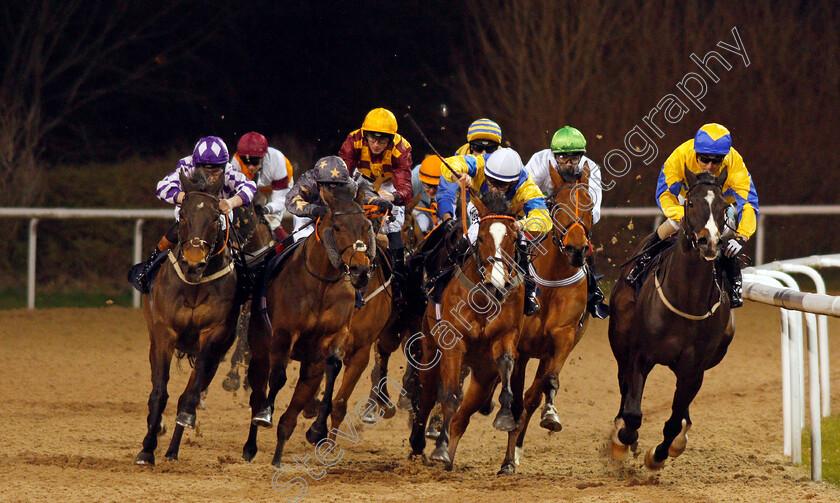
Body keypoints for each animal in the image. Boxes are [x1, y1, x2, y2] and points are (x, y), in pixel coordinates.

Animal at [134, 171, 240, 466]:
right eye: (182, 214)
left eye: (216, 217)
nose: (194, 263)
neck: (194, 285)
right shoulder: (164, 333)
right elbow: (159, 392)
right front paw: (147, 448)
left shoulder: (213, 335)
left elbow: (189, 394)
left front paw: (182, 423)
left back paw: (172, 448)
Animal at [241, 183, 376, 466]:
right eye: (337, 227)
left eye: (366, 225)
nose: (361, 271)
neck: (321, 284)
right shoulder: (284, 333)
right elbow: (278, 376)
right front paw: (265, 414)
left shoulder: (335, 336)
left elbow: (333, 366)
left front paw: (318, 429)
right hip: (259, 348)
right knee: (258, 389)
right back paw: (251, 444)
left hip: (310, 367)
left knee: (292, 413)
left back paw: (278, 457)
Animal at [408, 191, 524, 470]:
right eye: (480, 237)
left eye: (513, 239)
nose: (496, 284)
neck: (483, 299)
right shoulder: (454, 344)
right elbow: (449, 396)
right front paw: (438, 448)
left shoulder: (506, 337)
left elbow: (506, 362)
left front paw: (505, 415)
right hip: (431, 351)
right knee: (428, 394)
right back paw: (419, 447)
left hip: (482, 376)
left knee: (463, 415)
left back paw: (449, 458)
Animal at [502, 163, 592, 474]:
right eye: (557, 206)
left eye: (590, 205)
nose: (577, 249)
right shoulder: (519, 348)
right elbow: (516, 399)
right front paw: (507, 462)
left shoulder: (563, 338)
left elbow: (547, 384)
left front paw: (551, 416)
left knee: (533, 395)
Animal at [608, 167, 732, 470]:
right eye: (691, 203)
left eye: (724, 206)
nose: (709, 242)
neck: (686, 298)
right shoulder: (640, 355)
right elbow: (633, 413)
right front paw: (623, 440)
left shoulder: (694, 368)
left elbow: (674, 421)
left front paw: (658, 455)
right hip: (620, 341)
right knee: (623, 385)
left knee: (682, 410)